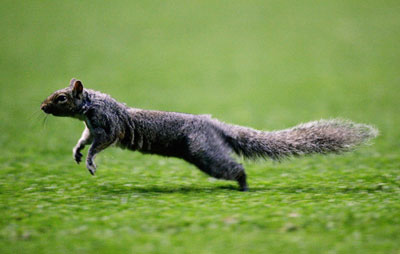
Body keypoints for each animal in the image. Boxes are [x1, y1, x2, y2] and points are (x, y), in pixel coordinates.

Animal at [39, 78, 378, 191]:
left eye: (61, 98)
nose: (42, 106)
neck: (90, 106)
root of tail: (215, 125)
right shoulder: (90, 126)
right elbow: (84, 139)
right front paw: (77, 152)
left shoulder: (109, 126)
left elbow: (101, 143)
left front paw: (90, 161)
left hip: (205, 152)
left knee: (235, 167)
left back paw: (244, 185)